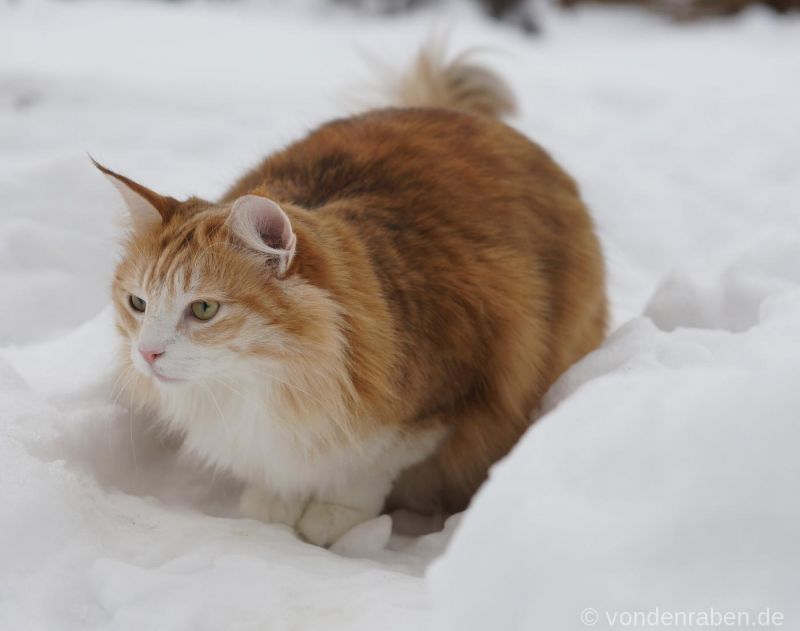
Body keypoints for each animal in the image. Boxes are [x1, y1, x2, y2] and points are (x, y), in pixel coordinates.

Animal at [104, 45, 608, 548]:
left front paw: (331, 516)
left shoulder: (440, 402)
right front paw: (274, 505)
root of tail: (450, 111)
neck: (271, 382)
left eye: (204, 309)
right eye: (138, 304)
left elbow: (367, 469)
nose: (146, 353)